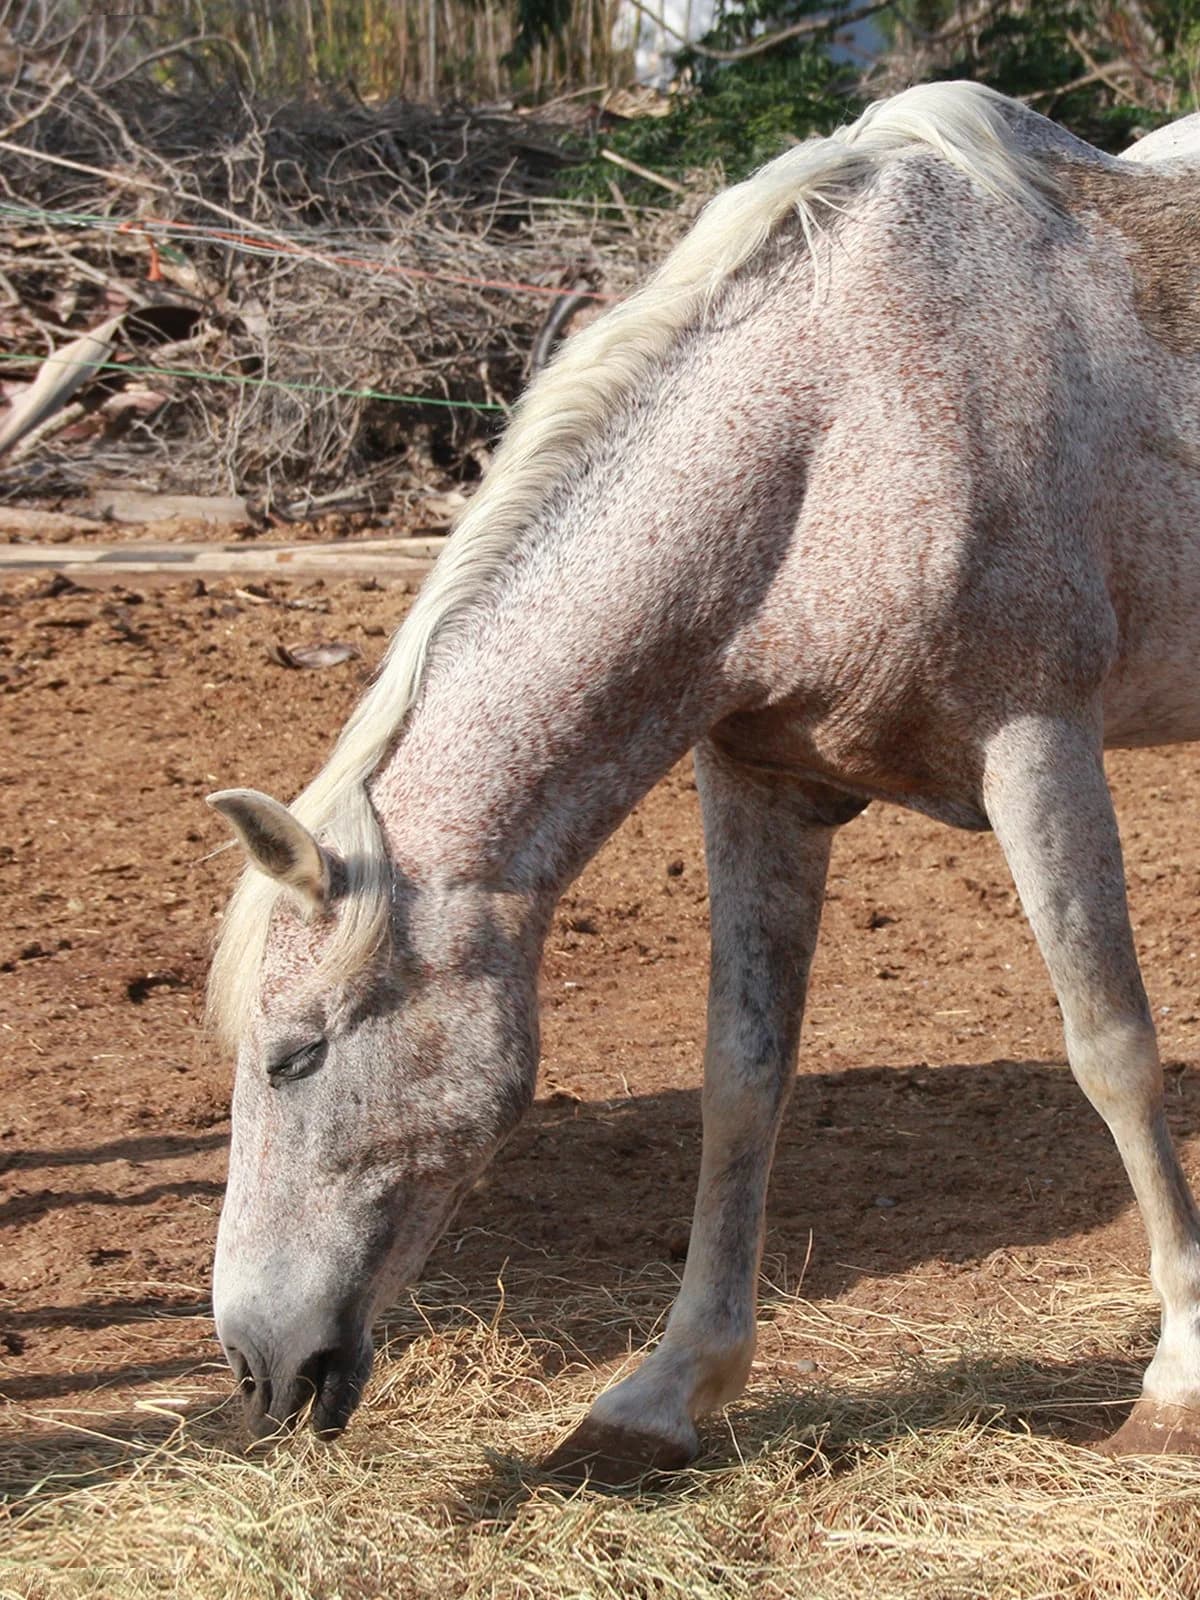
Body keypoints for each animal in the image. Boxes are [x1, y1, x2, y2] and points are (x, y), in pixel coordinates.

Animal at [205, 80, 1200, 1481]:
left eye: (296, 1055)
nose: (256, 1369)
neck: (840, 419)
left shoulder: (1039, 741)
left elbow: (1111, 1045)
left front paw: (1178, 1376)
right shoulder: (756, 778)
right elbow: (741, 1081)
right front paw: (665, 1392)